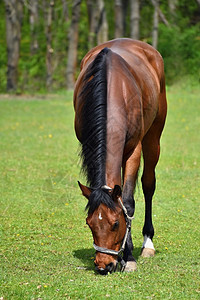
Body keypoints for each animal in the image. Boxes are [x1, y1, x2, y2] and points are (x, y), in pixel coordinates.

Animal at [73, 38, 167, 276]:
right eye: (89, 224)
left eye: (116, 224)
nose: (103, 265)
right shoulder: (88, 145)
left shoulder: (134, 150)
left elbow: (128, 202)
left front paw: (130, 257)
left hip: (154, 136)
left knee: (148, 184)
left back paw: (147, 244)